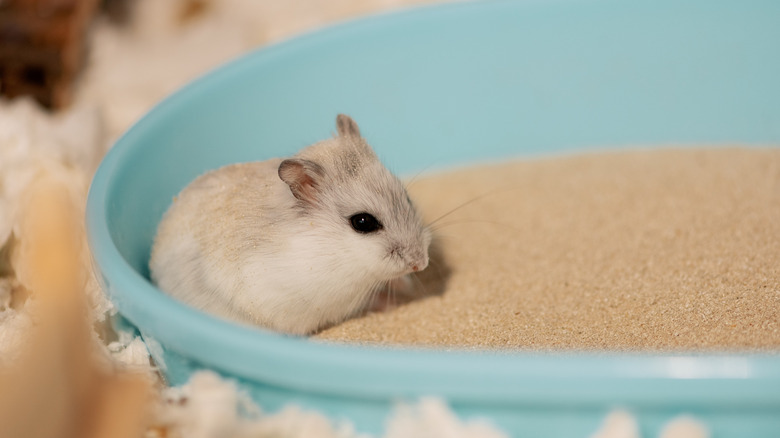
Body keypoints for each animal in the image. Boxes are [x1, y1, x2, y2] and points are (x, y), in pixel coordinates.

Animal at [146, 114, 432, 336]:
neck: (335, 248)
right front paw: (392, 301)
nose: (421, 264)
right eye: (363, 222)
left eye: (407, 197)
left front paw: (406, 287)